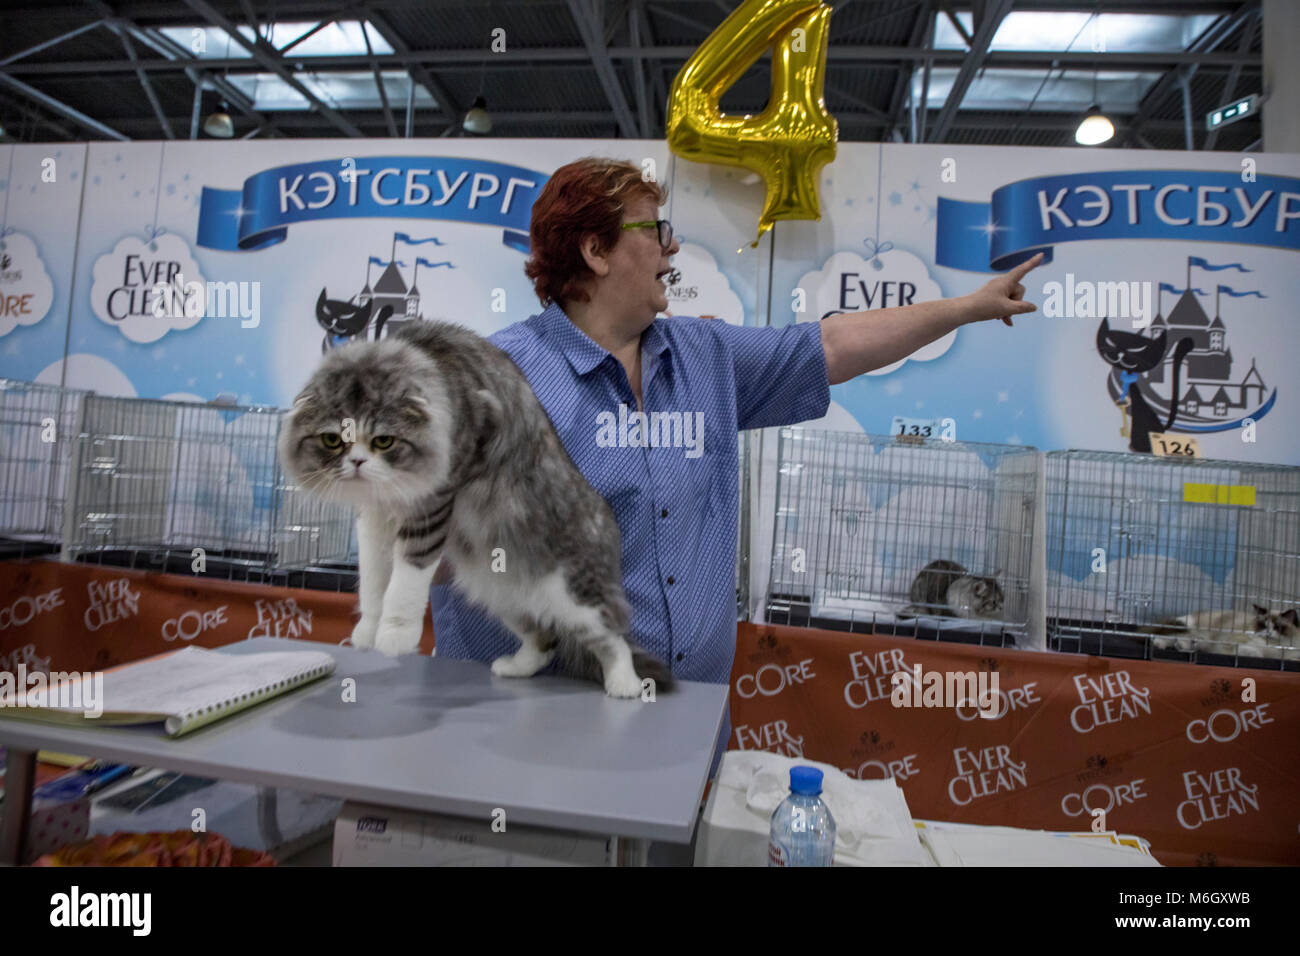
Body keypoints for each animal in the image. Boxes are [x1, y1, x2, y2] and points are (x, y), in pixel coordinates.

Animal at [280, 317, 676, 697]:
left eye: (383, 441)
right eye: (333, 440)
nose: (358, 463)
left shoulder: (432, 504)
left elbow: (405, 579)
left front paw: (395, 634)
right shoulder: (375, 518)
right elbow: (374, 580)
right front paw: (367, 629)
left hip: (577, 599)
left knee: (614, 640)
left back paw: (625, 686)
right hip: (502, 595)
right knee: (544, 639)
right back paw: (515, 669)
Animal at [1149, 608, 1300, 660]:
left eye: (1278, 627)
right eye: (1263, 625)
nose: (1268, 632)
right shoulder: (1237, 644)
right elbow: (1256, 653)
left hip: (1200, 640)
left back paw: (1181, 647)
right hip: (1200, 635)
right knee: (1166, 637)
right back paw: (1159, 644)